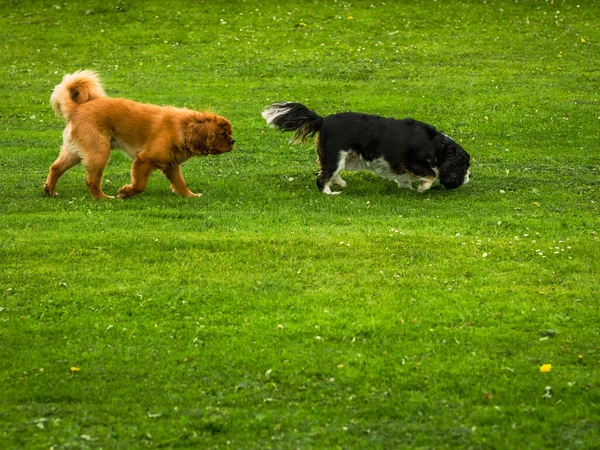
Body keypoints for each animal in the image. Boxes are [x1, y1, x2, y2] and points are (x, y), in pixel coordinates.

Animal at [43, 70, 236, 199]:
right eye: (222, 134)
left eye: (230, 133)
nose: (233, 140)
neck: (183, 128)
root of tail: (76, 109)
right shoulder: (144, 160)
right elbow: (140, 184)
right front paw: (125, 192)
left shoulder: (171, 165)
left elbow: (180, 183)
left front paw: (190, 195)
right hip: (99, 153)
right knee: (91, 180)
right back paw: (102, 198)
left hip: (75, 153)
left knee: (56, 168)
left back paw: (50, 190)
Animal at [264, 103, 472, 196]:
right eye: (465, 167)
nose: (470, 176)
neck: (437, 146)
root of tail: (323, 120)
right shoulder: (414, 162)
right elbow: (431, 174)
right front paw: (421, 188)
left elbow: (405, 180)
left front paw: (409, 187)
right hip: (335, 156)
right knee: (321, 177)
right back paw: (330, 193)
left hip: (340, 158)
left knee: (330, 173)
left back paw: (341, 184)